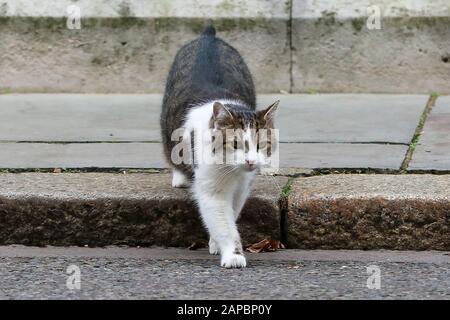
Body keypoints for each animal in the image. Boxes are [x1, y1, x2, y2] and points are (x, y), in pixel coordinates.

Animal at [158, 26, 278, 268]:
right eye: (235, 144)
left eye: (261, 145)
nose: (251, 161)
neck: (231, 171)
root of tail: (208, 36)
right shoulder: (211, 187)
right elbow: (223, 222)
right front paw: (233, 255)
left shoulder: (242, 187)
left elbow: (231, 213)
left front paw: (215, 243)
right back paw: (180, 176)